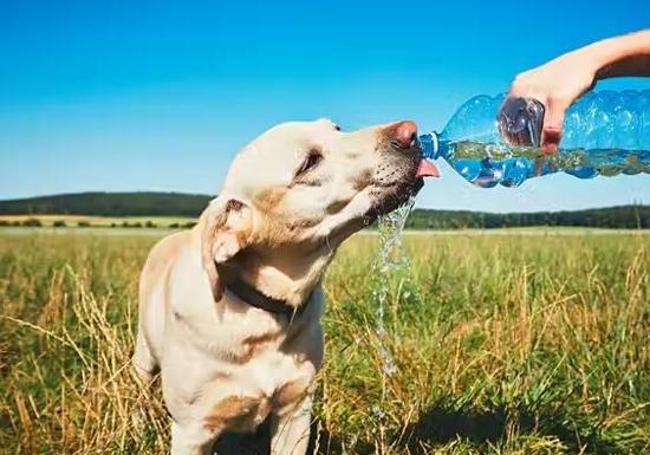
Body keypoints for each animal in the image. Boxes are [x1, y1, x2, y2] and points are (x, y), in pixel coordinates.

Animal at [133, 119, 436, 454]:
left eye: (337, 128)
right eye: (309, 162)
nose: (410, 132)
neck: (262, 314)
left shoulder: (296, 410)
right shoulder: (192, 429)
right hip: (143, 357)